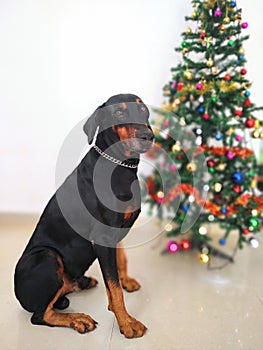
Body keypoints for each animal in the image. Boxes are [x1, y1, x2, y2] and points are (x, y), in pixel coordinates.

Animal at [14, 93, 155, 340]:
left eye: (143, 109)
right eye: (118, 112)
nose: (148, 136)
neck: (120, 165)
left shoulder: (113, 233)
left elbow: (120, 261)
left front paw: (126, 280)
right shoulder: (103, 238)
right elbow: (114, 290)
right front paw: (127, 322)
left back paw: (82, 283)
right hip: (47, 257)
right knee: (40, 315)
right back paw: (77, 319)